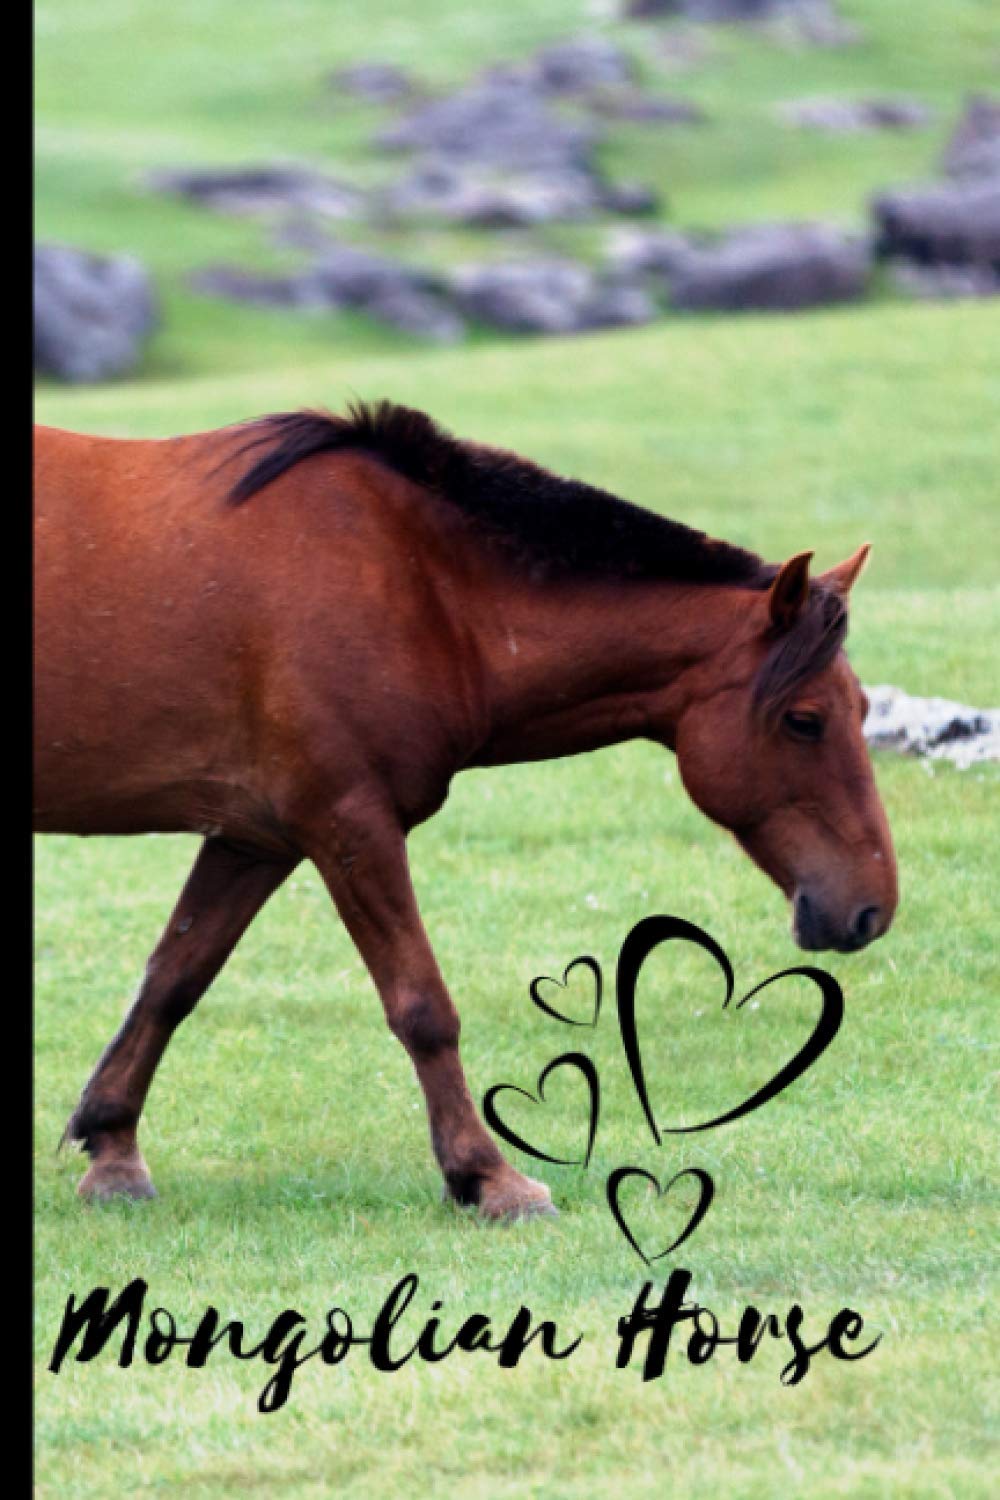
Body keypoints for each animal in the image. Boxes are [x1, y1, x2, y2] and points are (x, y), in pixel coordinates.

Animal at [33, 401, 898, 1219]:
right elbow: (422, 1007)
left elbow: (174, 979)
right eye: (805, 720)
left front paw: (112, 1149)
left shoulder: (256, 839)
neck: (423, 587)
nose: (871, 907)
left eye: (861, 710)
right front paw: (488, 1178)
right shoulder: (350, 826)